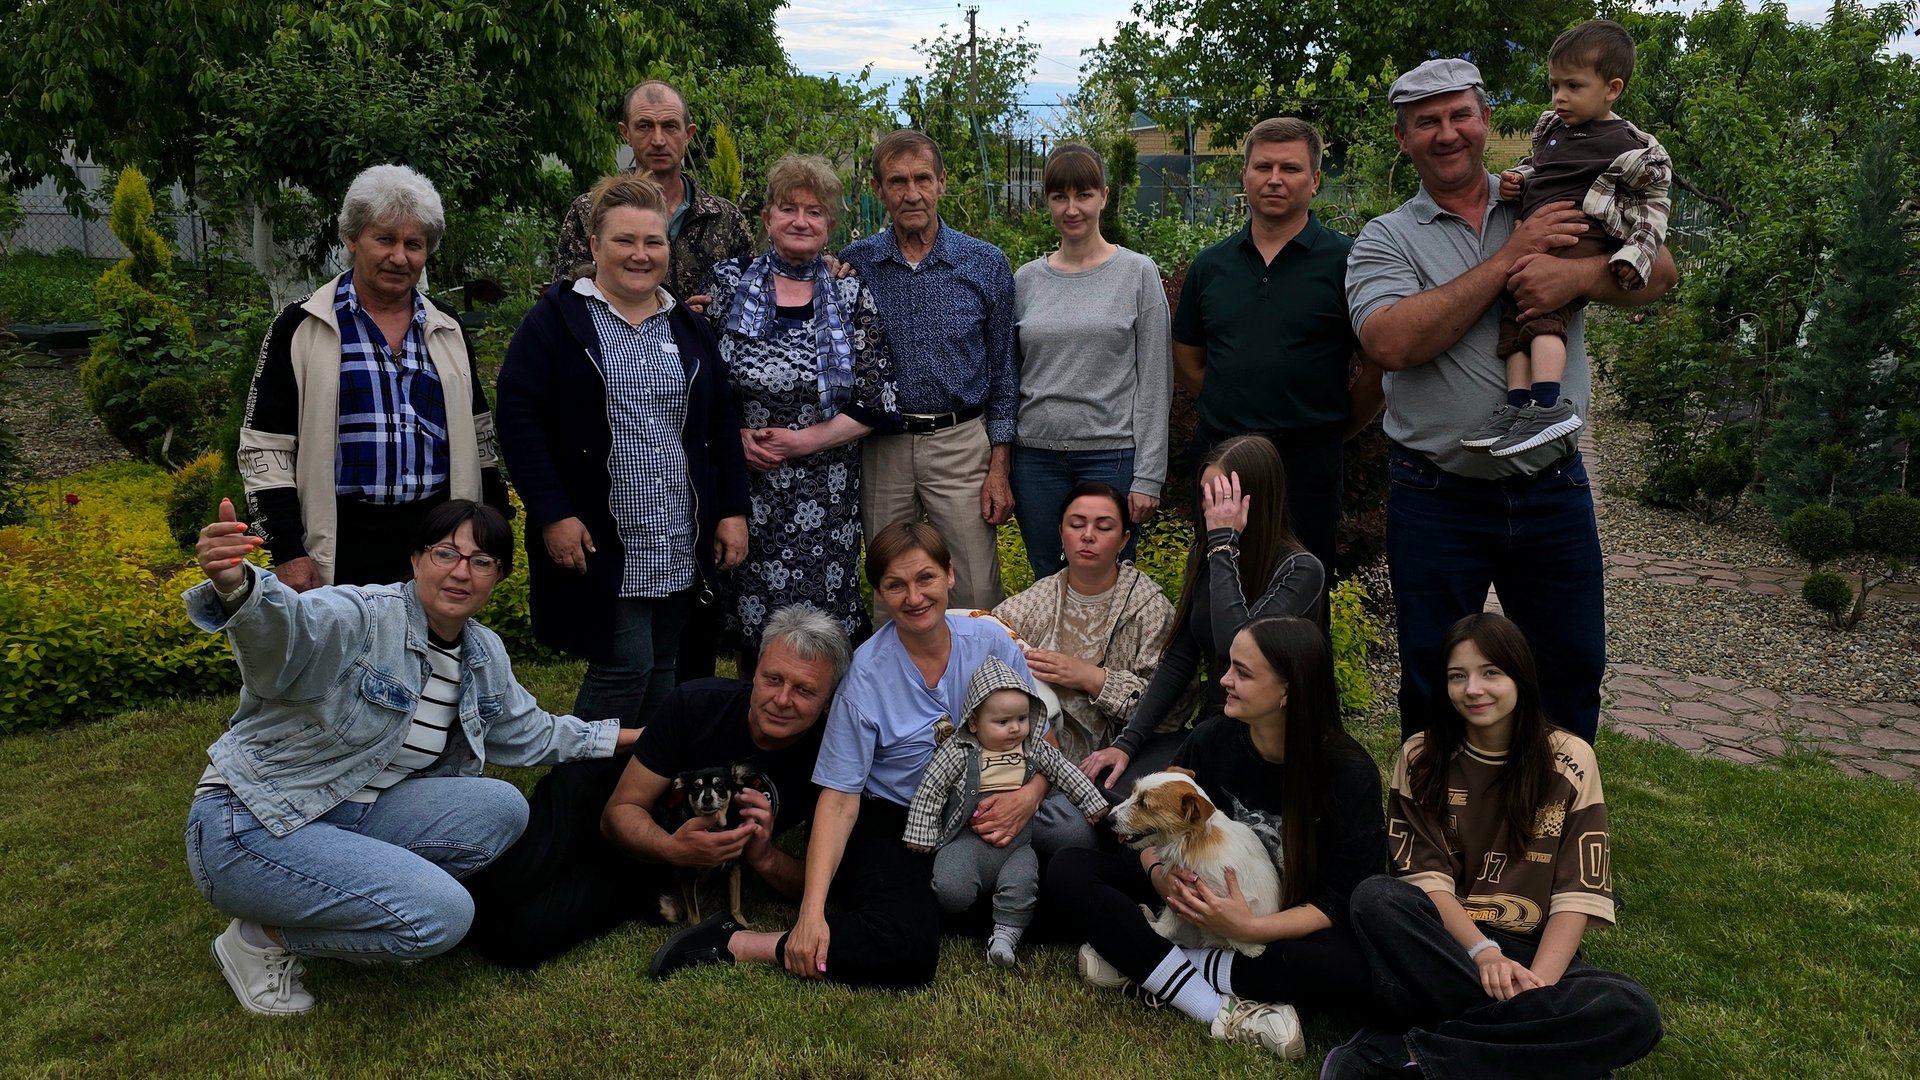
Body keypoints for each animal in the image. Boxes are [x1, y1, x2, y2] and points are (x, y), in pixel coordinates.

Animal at [655, 763, 780, 927]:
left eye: (719, 785)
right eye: (696, 787)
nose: (707, 798)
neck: (715, 828)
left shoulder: (734, 867)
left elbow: (735, 902)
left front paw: (742, 922)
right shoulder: (688, 876)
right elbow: (694, 917)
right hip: (666, 908)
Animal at [1109, 767, 1281, 957]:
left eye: (1144, 804)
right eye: (1134, 792)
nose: (1108, 818)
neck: (1192, 839)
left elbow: (1171, 919)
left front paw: (1251, 948)